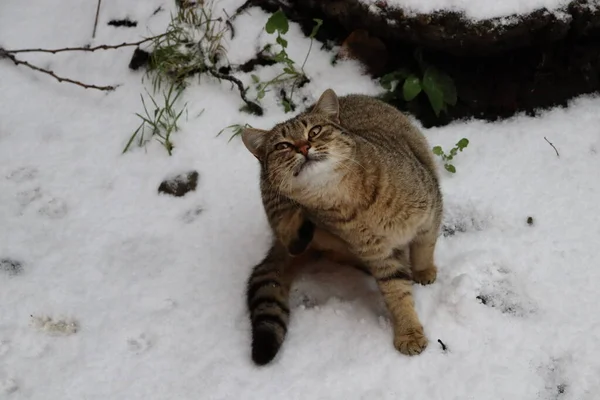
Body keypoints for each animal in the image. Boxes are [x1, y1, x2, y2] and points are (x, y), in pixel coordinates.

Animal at [241, 88, 442, 366]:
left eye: (314, 131)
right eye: (282, 146)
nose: (303, 147)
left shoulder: (430, 211)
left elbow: (424, 248)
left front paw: (423, 271)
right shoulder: (379, 255)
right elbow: (396, 291)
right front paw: (408, 331)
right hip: (288, 213)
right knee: (301, 243)